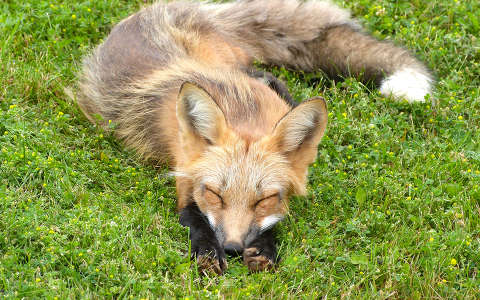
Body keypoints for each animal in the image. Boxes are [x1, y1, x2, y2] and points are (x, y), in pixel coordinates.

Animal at [76, 0, 436, 274]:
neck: (241, 106)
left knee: (265, 74)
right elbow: (194, 217)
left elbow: (273, 221)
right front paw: (208, 253)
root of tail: (161, 8)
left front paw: (265, 248)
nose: (233, 248)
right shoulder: (184, 174)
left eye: (262, 200)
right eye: (215, 195)